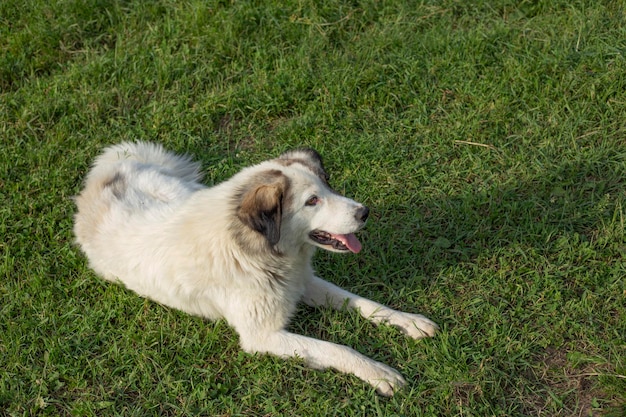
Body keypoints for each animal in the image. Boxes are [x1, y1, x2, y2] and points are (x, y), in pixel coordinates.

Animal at [73, 141, 436, 394]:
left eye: (328, 186)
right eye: (312, 201)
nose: (364, 212)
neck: (255, 250)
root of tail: (103, 175)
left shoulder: (304, 283)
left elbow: (365, 304)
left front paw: (409, 322)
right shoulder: (263, 336)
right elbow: (337, 348)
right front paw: (377, 371)